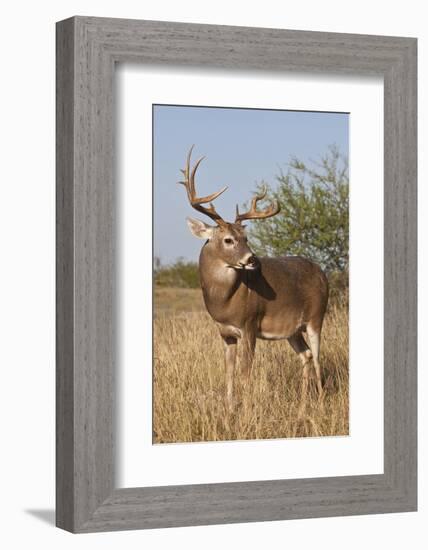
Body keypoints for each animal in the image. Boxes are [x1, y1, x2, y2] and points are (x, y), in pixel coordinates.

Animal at [179, 144, 330, 412]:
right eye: (228, 239)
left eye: (246, 238)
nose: (251, 259)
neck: (225, 301)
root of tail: (323, 274)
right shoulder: (225, 332)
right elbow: (229, 371)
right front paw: (230, 409)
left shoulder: (249, 324)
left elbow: (245, 373)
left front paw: (247, 410)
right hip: (293, 329)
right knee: (306, 355)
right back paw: (303, 406)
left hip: (316, 316)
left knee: (318, 356)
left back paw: (320, 403)